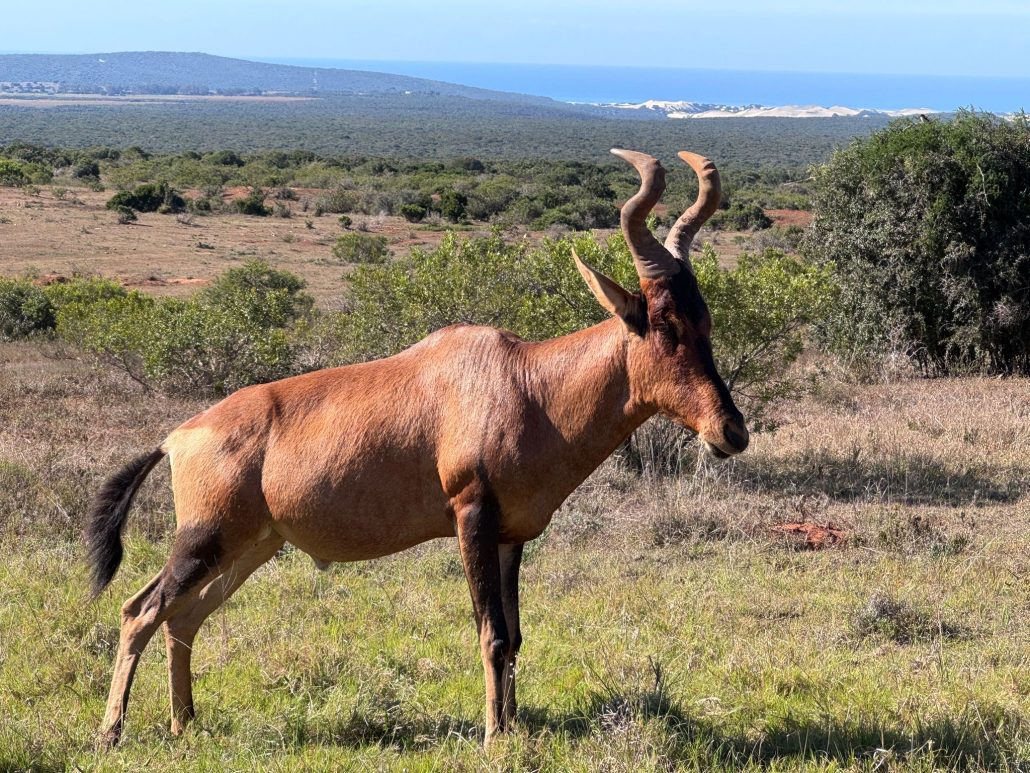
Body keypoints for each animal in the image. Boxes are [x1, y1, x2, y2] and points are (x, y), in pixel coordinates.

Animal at [87, 148, 749, 748]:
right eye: (663, 326)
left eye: (706, 320)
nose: (732, 432)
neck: (523, 380)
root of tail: (177, 436)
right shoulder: (470, 516)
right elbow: (491, 633)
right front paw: (493, 737)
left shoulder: (511, 536)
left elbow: (515, 633)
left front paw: (514, 727)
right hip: (206, 538)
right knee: (139, 612)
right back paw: (111, 733)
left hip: (250, 546)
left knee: (184, 618)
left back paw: (185, 725)